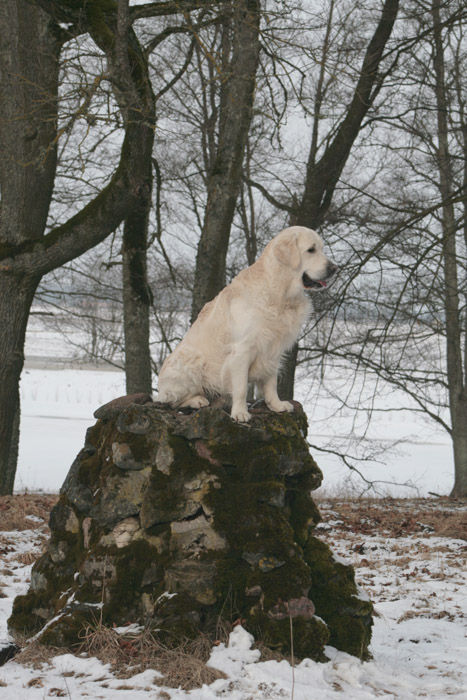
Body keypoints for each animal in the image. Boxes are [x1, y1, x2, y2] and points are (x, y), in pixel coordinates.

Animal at [156, 226, 337, 422]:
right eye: (311, 250)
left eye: (322, 248)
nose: (335, 268)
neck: (280, 293)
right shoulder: (242, 350)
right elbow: (241, 387)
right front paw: (240, 412)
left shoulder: (273, 350)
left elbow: (271, 383)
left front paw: (276, 404)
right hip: (189, 361)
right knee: (170, 401)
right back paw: (196, 400)